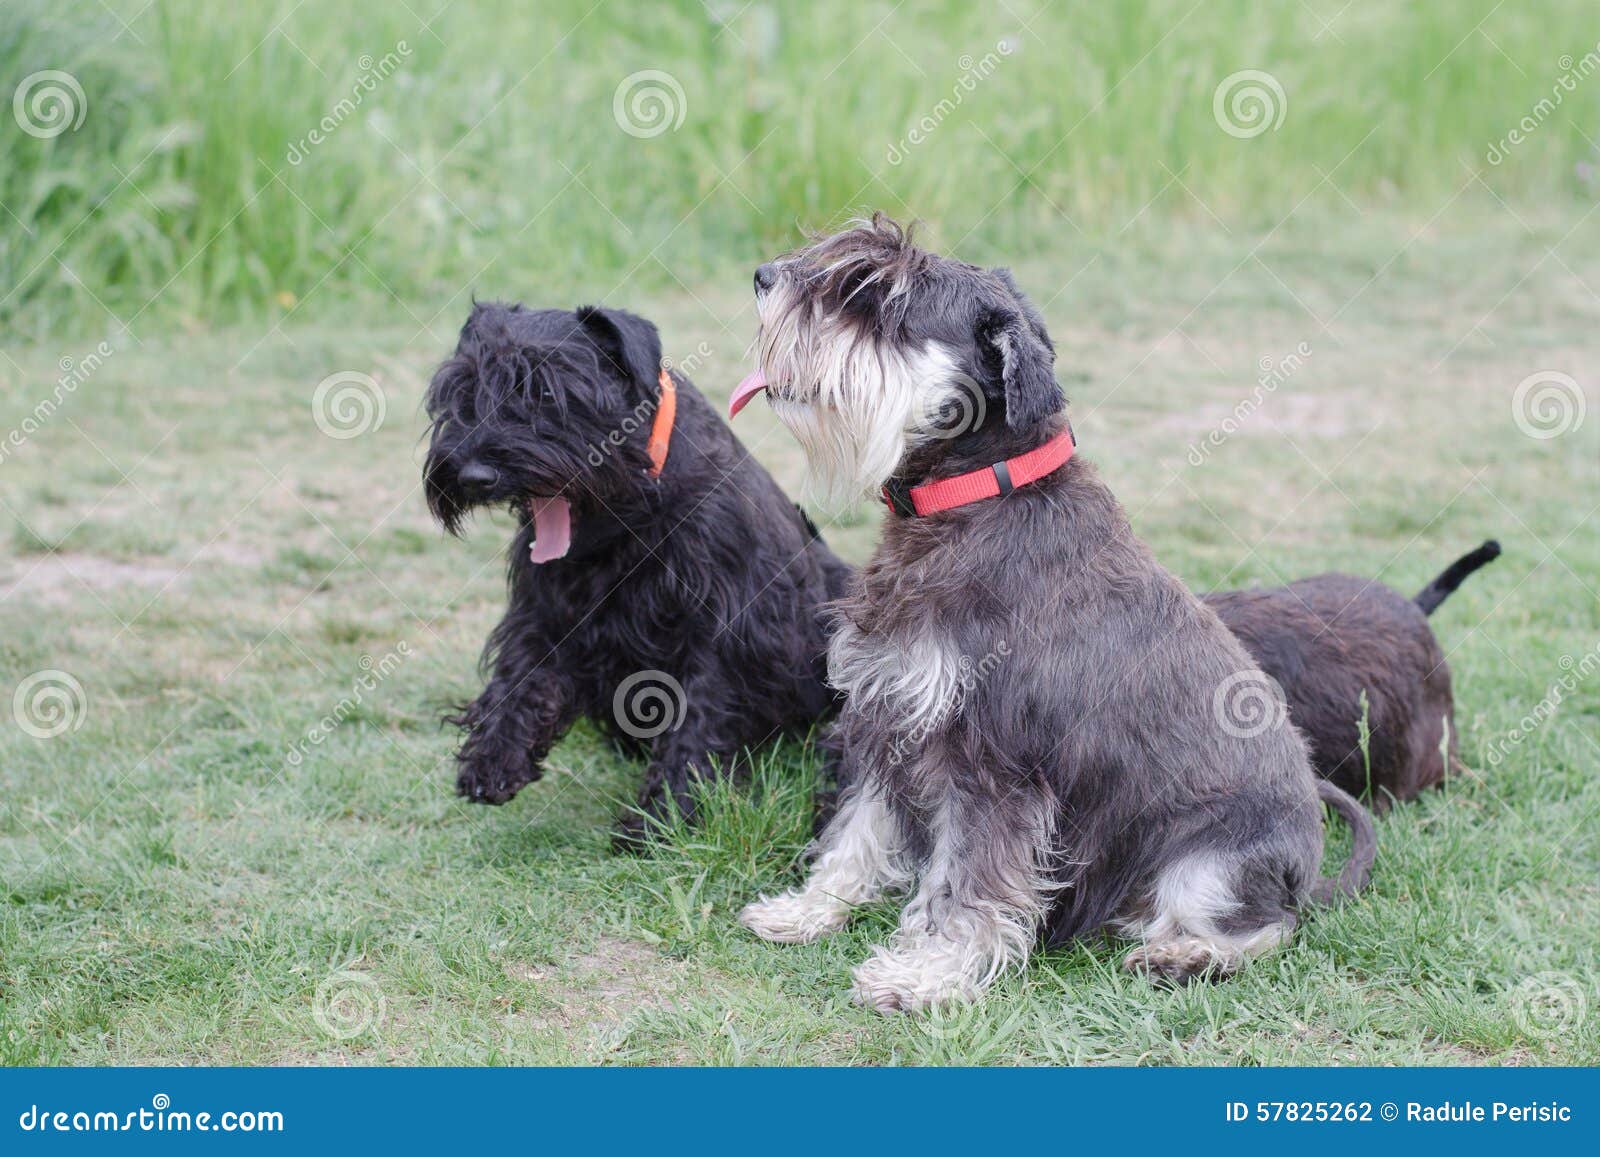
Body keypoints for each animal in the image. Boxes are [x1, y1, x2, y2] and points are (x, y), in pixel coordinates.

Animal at [422, 300, 851, 844]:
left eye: (548, 391)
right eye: (463, 389)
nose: (474, 474)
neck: (630, 504)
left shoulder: (725, 627)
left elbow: (699, 718)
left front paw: (664, 815)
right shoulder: (548, 607)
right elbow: (520, 673)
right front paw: (494, 758)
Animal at [732, 219, 1369, 1011]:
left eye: (878, 299)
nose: (764, 277)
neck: (976, 495)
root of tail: (1308, 865)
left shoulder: (992, 765)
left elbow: (968, 881)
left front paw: (926, 973)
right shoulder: (891, 717)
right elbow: (857, 831)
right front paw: (808, 909)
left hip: (1211, 863)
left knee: (1269, 926)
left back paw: (1184, 954)